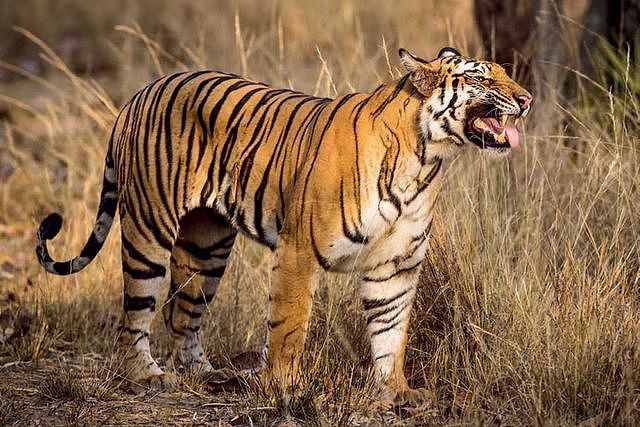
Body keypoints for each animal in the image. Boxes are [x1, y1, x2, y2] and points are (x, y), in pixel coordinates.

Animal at [35, 47, 531, 404]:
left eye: (505, 73)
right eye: (482, 77)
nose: (526, 100)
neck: (425, 157)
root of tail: (140, 92)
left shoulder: (396, 264)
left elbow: (392, 329)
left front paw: (397, 391)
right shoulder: (299, 250)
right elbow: (289, 324)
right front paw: (284, 388)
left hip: (206, 247)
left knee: (182, 312)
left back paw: (207, 375)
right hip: (149, 229)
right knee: (134, 315)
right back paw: (146, 377)